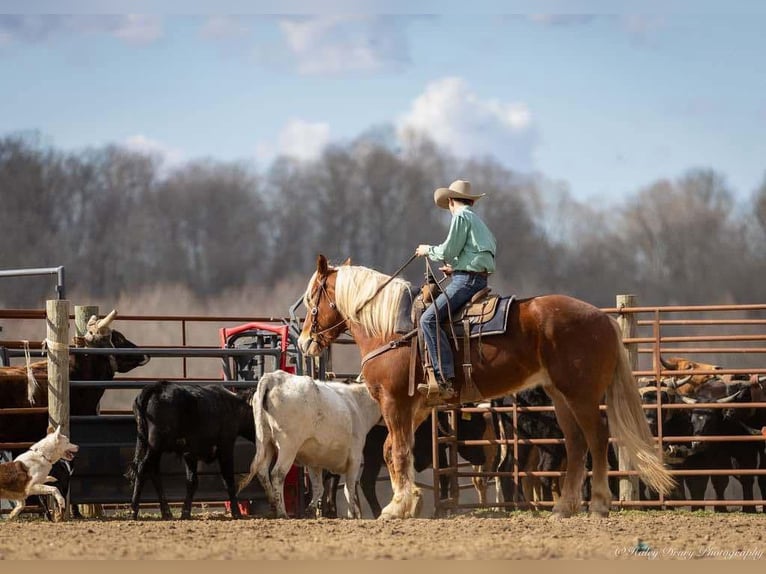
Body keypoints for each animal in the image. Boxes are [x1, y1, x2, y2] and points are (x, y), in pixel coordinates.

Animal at [126, 382, 256, 520]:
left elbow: (191, 481)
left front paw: (185, 512)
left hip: (153, 447)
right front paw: (236, 512)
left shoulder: (190, 453)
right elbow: (228, 480)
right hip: (155, 445)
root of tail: (157, 387)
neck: (234, 407)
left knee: (153, 472)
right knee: (142, 468)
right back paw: (134, 510)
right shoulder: (225, 446)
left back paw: (166, 512)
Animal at [300, 256, 680, 520]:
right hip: (560, 396)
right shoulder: (415, 406)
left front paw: (396, 507)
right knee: (575, 443)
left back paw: (598, 504)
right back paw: (564, 508)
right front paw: (409, 503)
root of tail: (603, 319)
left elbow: (397, 452)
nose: (304, 342)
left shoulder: (393, 401)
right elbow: (395, 449)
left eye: (311, 299)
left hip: (581, 394)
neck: (392, 328)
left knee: (597, 438)